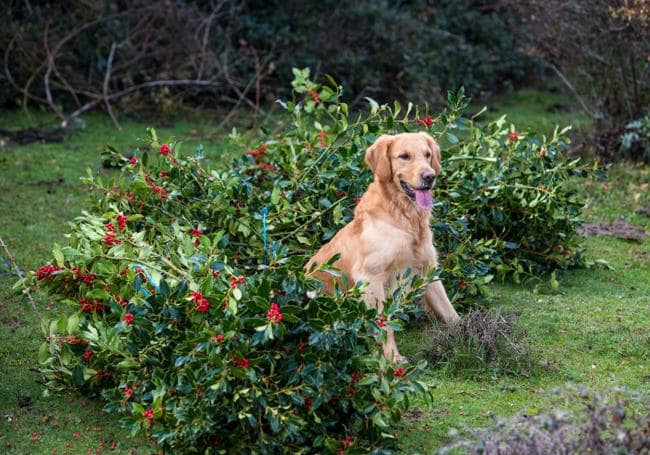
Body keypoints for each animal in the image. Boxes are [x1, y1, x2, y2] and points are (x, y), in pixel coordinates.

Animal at [306, 131, 458, 364]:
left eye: (427, 155)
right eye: (404, 156)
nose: (430, 176)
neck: (405, 217)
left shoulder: (427, 269)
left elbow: (450, 311)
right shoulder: (371, 277)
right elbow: (384, 325)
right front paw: (393, 358)